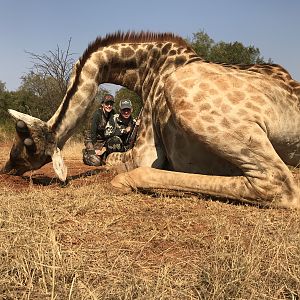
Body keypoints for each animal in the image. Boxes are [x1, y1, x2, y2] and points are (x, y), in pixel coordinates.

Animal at [1, 31, 300, 207]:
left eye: (27, 147)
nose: (7, 169)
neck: (147, 70)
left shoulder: (145, 151)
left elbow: (110, 160)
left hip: (182, 94)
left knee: (278, 184)